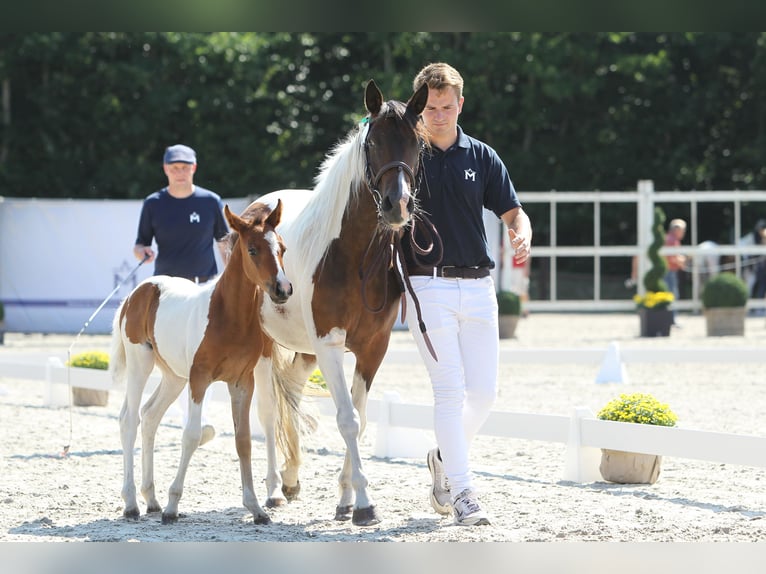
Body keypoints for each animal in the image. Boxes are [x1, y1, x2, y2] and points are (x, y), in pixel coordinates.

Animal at [111, 201, 296, 528]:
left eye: (282, 248)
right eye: (252, 249)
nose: (282, 289)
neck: (228, 315)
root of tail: (136, 292)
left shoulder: (241, 382)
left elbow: (243, 440)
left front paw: (256, 508)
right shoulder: (200, 379)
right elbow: (192, 435)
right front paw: (173, 507)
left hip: (173, 376)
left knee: (150, 416)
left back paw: (151, 499)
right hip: (140, 364)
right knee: (129, 420)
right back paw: (132, 503)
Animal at [254, 80, 428, 528]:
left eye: (417, 144)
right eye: (374, 142)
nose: (398, 206)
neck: (354, 256)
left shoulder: (372, 348)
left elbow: (361, 419)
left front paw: (347, 499)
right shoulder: (330, 344)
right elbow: (347, 420)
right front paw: (364, 504)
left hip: (303, 350)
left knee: (293, 393)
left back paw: (291, 479)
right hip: (264, 347)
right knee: (266, 411)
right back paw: (273, 491)